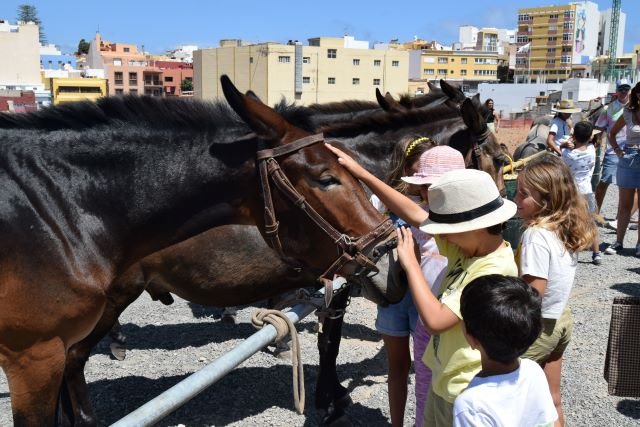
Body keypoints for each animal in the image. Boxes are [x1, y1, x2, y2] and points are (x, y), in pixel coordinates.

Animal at [0, 75, 398, 426]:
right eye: (326, 178)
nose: (389, 257)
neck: (61, 206)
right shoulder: (33, 357)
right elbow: (329, 342)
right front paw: (332, 402)